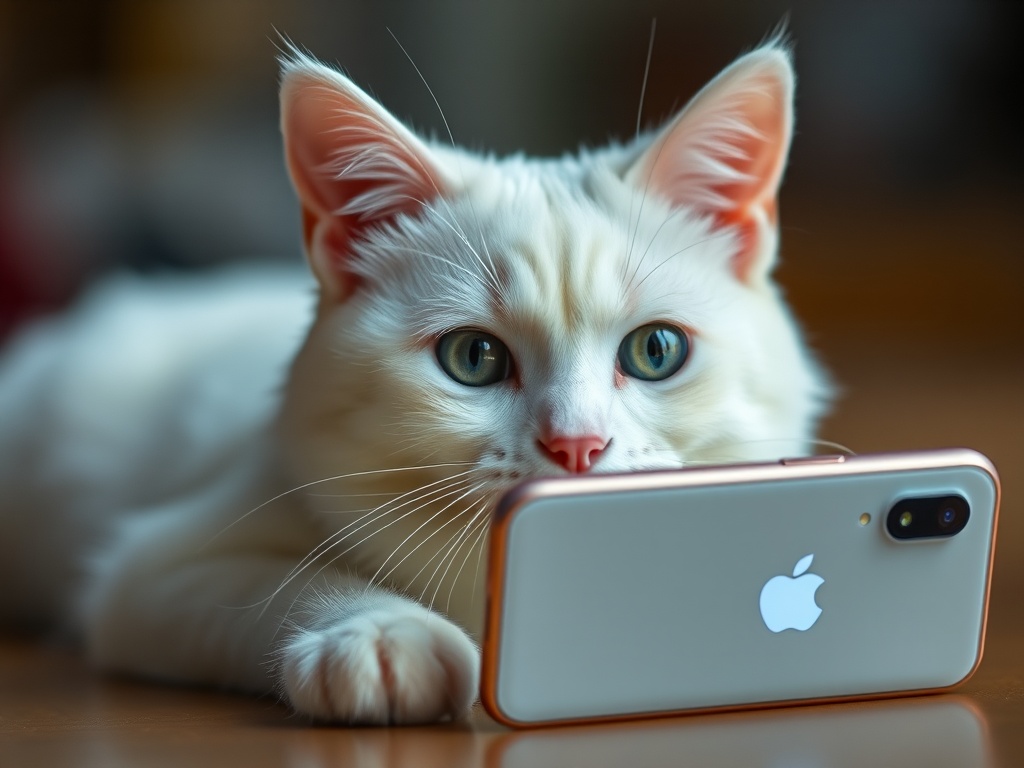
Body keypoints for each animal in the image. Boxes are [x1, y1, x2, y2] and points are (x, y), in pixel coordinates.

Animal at [0, 40, 823, 729]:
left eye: (655, 351)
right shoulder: (153, 570)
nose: (578, 445)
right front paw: (384, 636)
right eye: (474, 358)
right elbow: (298, 578)